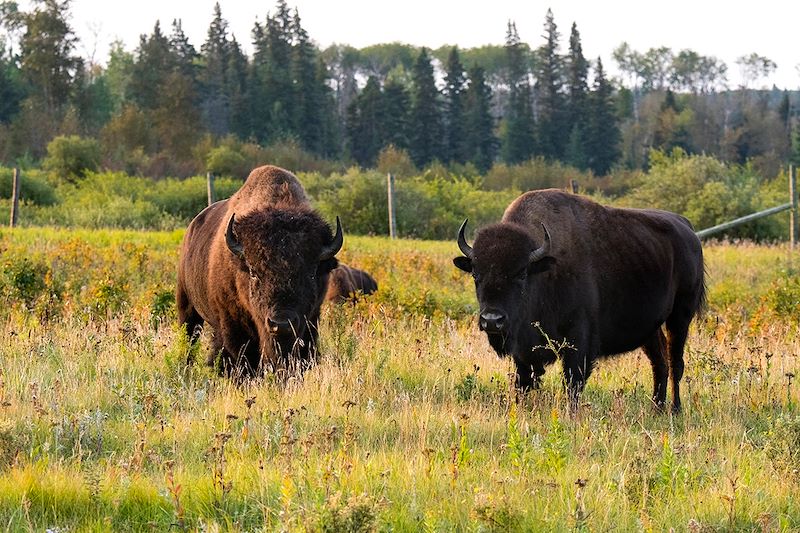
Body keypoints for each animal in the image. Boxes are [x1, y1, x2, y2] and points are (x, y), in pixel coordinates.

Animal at [177, 165, 343, 377]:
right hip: (186, 306)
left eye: (312, 273)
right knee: (190, 338)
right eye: (254, 272)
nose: (281, 324)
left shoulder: (310, 321)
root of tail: (192, 228)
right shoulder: (232, 324)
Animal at [453, 189, 705, 412]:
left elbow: (572, 383)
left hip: (681, 316)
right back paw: (657, 408)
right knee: (659, 362)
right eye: (475, 274)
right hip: (650, 328)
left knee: (675, 362)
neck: (544, 269)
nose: (492, 320)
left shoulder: (579, 342)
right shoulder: (523, 352)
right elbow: (524, 382)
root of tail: (687, 229)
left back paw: (675, 410)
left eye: (521, 273)